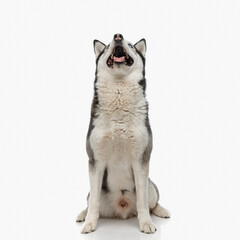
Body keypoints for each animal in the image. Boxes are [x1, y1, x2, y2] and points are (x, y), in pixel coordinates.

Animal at [77, 32, 171, 233]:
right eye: (106, 47)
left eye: (131, 45)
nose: (118, 36)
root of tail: (122, 205)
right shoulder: (95, 160)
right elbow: (94, 202)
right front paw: (89, 223)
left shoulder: (141, 159)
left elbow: (143, 201)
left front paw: (146, 223)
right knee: (90, 200)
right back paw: (82, 215)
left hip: (151, 186)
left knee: (152, 201)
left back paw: (161, 210)